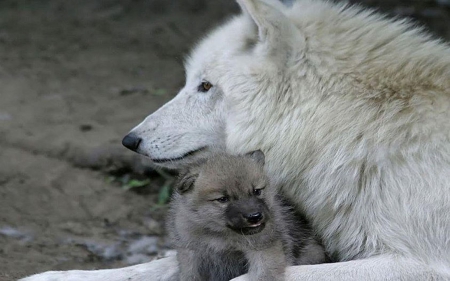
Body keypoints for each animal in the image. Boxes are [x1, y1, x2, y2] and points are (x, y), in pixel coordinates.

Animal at [22, 0, 450, 280]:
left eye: (205, 86)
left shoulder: (419, 262)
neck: (356, 126)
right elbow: (152, 265)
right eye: (192, 81)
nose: (131, 140)